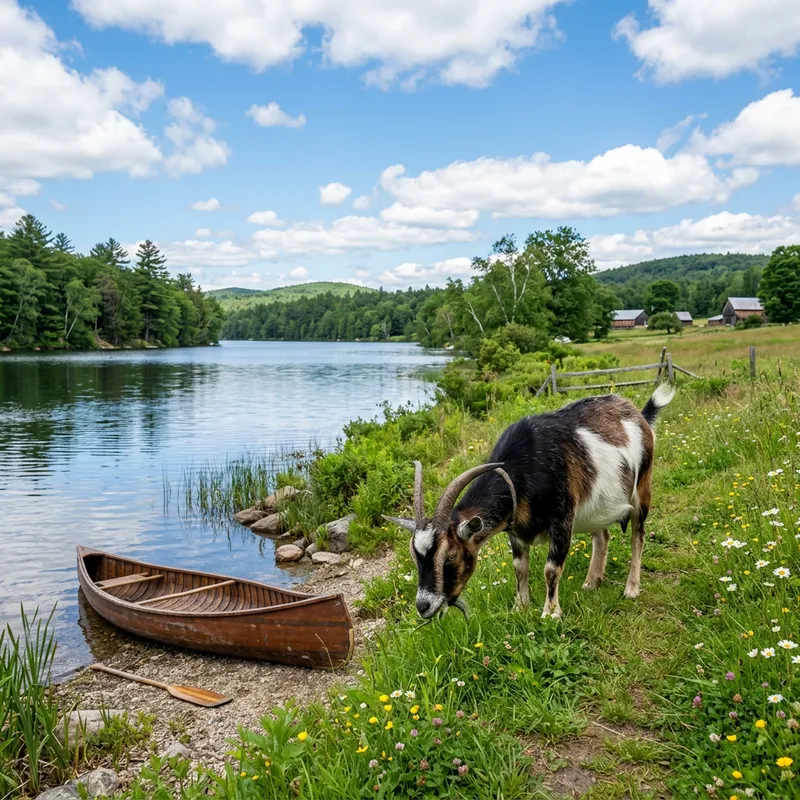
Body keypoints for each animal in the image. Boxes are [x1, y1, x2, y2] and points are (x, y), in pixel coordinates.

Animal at [384, 385, 675, 619]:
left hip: (642, 488)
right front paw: (520, 607)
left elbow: (551, 569)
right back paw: (592, 583)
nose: (424, 606)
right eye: (414, 556)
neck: (525, 468)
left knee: (638, 535)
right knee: (602, 535)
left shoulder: (562, 518)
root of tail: (637, 413)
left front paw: (550, 613)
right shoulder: (515, 528)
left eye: (451, 555)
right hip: (597, 505)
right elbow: (519, 568)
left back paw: (631, 588)